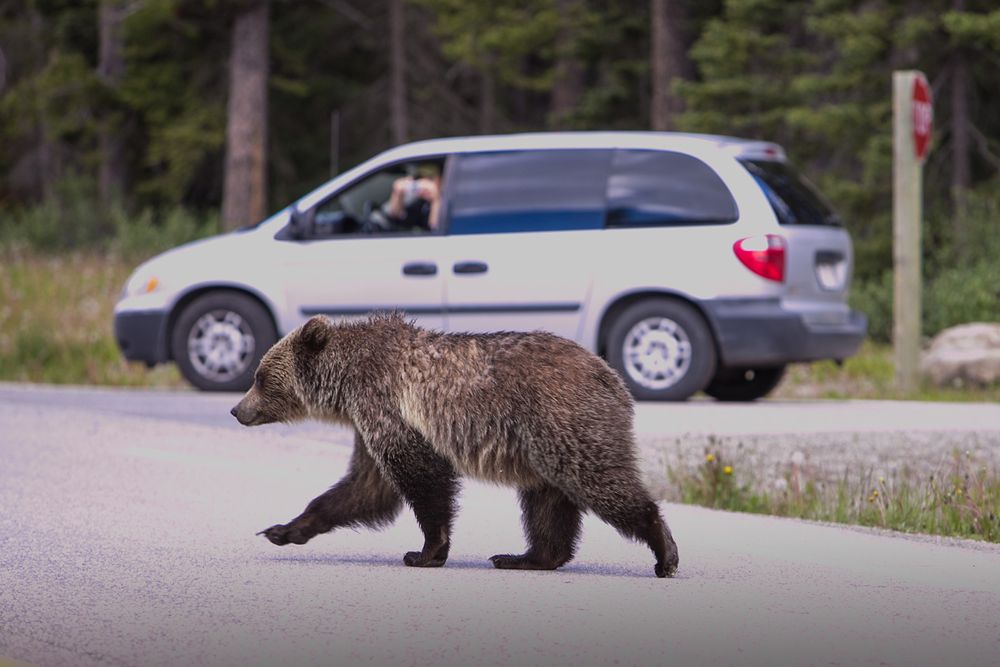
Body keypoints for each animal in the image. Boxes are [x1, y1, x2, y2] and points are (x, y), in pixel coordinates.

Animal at [230, 313, 679, 578]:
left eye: (260, 377)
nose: (237, 410)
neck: (346, 384)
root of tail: (611, 376)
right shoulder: (371, 420)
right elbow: (364, 488)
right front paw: (283, 529)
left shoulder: (389, 407)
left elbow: (422, 479)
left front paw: (425, 551)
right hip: (542, 446)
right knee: (546, 504)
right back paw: (524, 557)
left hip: (563, 422)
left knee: (599, 482)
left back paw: (665, 553)